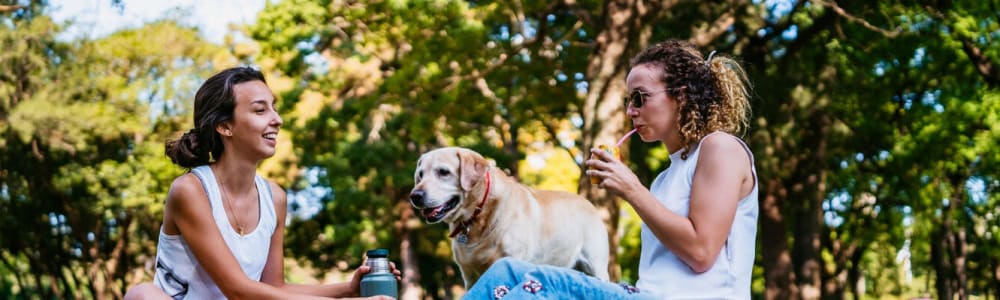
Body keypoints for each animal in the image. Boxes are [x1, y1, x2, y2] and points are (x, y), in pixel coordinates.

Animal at [408, 146, 608, 288]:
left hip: (596, 266)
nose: (415, 196)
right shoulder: (468, 276)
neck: (478, 215)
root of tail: (588, 202)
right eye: (420, 175)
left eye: (443, 172)